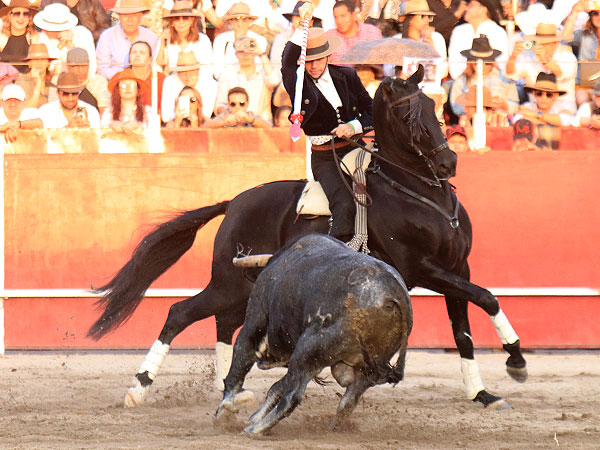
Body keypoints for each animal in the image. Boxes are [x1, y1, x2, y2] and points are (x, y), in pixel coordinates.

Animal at [88, 67, 524, 412]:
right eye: (405, 114)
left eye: (433, 107)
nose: (448, 162)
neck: (419, 193)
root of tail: (235, 202)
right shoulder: (423, 268)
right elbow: (487, 297)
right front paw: (516, 361)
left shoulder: (456, 267)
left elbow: (464, 329)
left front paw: (483, 393)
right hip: (227, 282)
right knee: (181, 313)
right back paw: (140, 387)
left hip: (241, 287)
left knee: (224, 323)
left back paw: (232, 389)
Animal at [216, 234, 412, 434]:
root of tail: (392, 292)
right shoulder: (316, 361)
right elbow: (276, 387)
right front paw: (252, 416)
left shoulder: (254, 323)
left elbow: (237, 369)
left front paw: (224, 413)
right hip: (363, 368)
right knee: (347, 402)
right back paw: (331, 427)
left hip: (306, 349)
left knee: (293, 396)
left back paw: (255, 430)